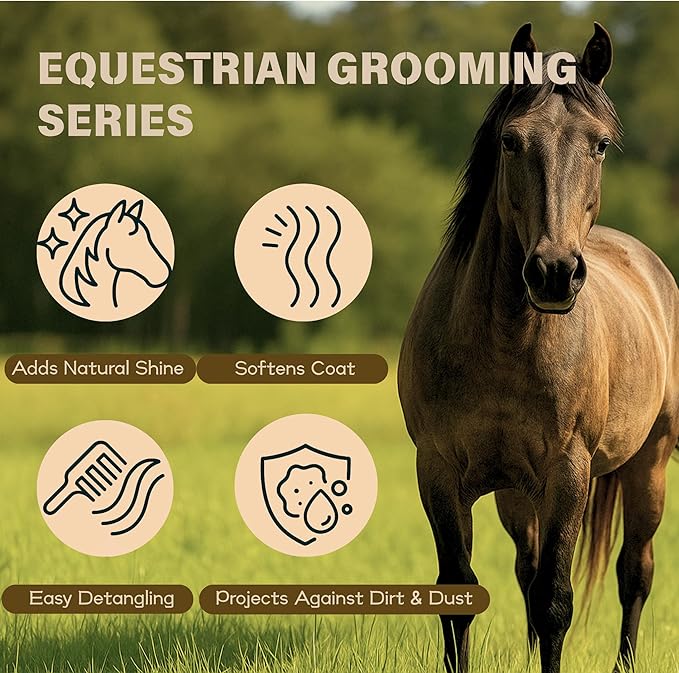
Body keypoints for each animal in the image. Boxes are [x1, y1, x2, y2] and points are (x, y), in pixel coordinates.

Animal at [398, 23, 679, 673]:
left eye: (600, 145)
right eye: (510, 140)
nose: (553, 273)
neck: (505, 342)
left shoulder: (567, 472)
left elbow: (555, 601)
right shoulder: (438, 470)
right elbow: (459, 593)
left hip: (649, 464)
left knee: (636, 571)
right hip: (514, 491)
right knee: (527, 567)